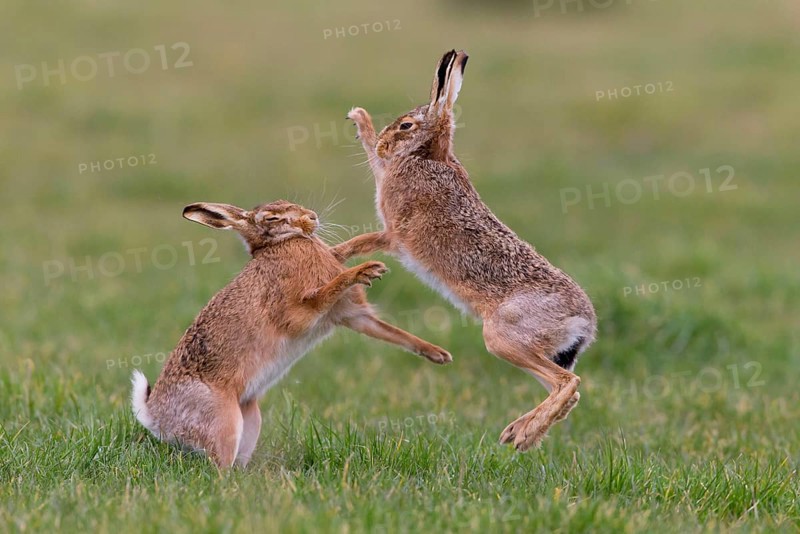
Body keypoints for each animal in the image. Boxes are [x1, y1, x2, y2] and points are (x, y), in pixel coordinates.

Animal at [131, 200, 452, 468]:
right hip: (223, 421)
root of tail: (154, 417)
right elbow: (324, 293)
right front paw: (366, 270)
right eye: (272, 218)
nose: (312, 217)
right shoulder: (299, 314)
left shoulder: (353, 315)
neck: (280, 245)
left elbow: (391, 332)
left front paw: (439, 354)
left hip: (251, 419)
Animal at [336, 49, 597, 451]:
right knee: (569, 391)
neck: (429, 155)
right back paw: (522, 432)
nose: (384, 143)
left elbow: (362, 239)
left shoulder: (393, 231)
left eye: (406, 126)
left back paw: (521, 435)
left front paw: (334, 253)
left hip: (503, 337)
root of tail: (584, 323)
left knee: (568, 383)